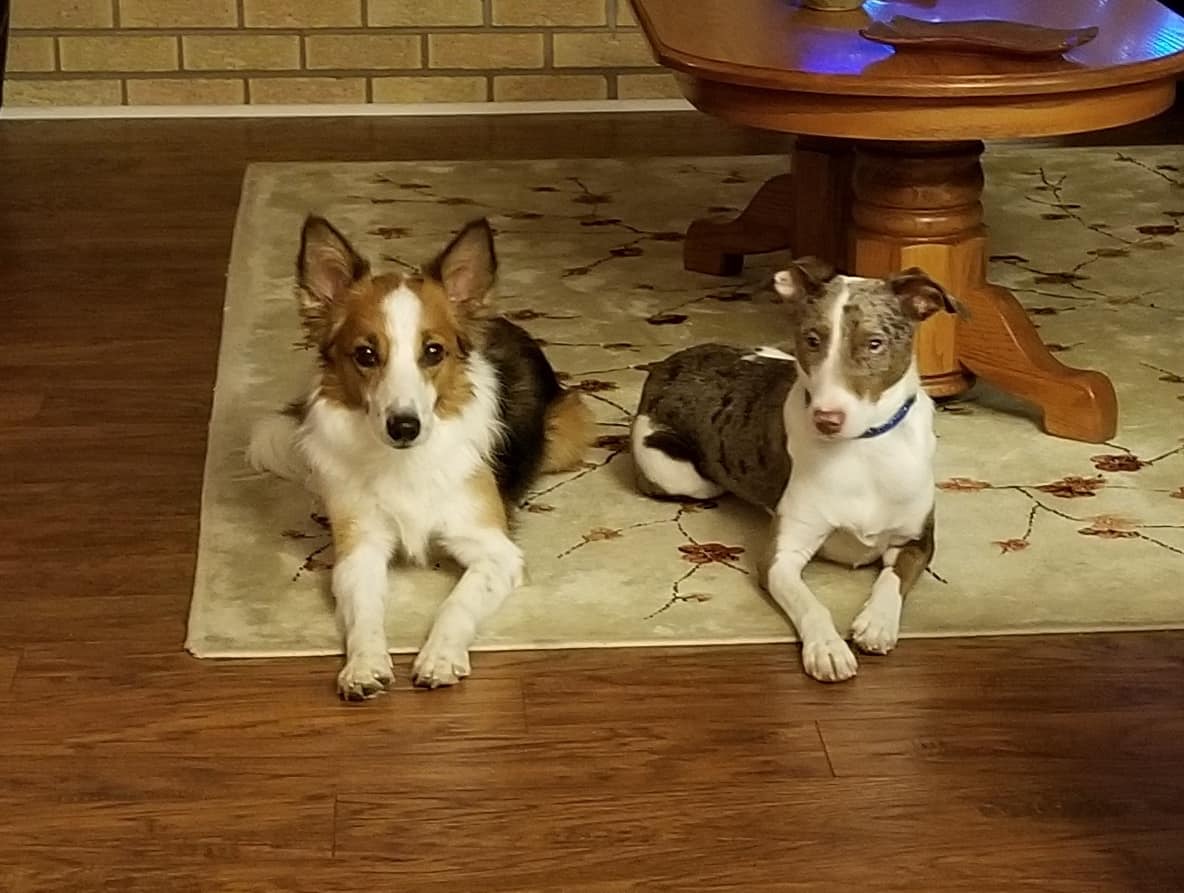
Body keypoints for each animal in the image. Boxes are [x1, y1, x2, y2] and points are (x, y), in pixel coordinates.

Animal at [249, 214, 592, 696]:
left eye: (434, 352)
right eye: (365, 354)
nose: (404, 427)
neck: (405, 462)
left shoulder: (495, 552)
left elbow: (458, 602)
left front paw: (441, 657)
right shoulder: (359, 549)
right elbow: (365, 614)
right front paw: (364, 665)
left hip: (566, 431)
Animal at [634, 257, 956, 682]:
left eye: (874, 343)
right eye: (813, 339)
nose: (826, 419)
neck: (862, 448)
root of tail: (668, 363)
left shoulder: (917, 541)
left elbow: (892, 580)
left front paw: (877, 623)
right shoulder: (780, 557)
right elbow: (810, 603)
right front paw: (828, 649)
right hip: (675, 470)